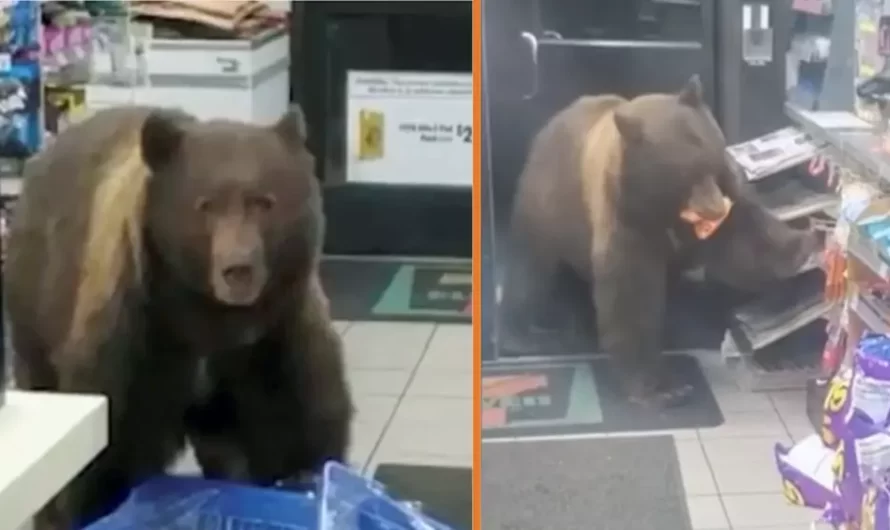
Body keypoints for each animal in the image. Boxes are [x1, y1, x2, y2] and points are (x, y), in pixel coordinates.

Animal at [6, 105, 356, 524]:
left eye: (262, 202)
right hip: (36, 310)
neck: (208, 319)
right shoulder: (141, 339)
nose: (238, 269)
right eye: (206, 205)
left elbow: (293, 430)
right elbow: (110, 456)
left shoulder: (275, 334)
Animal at [502, 75, 816, 404]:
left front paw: (802, 245)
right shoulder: (628, 219)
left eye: (709, 163)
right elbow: (632, 293)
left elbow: (743, 238)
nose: (715, 208)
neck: (666, 210)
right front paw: (662, 386)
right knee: (530, 270)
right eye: (683, 177)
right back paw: (524, 335)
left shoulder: (719, 202)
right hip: (548, 205)